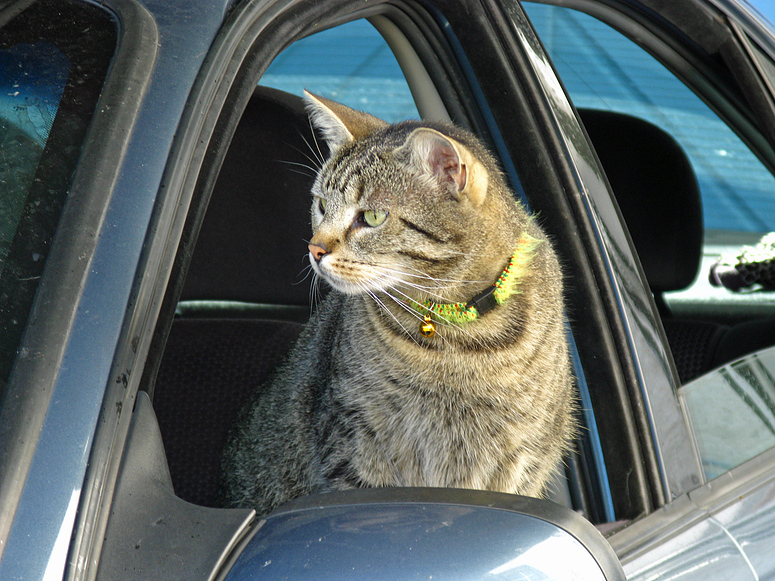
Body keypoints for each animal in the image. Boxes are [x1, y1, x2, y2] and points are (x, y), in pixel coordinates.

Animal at [220, 93, 576, 516]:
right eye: (321, 205)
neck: (454, 332)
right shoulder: (356, 445)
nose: (314, 249)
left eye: (372, 216)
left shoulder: (520, 460)